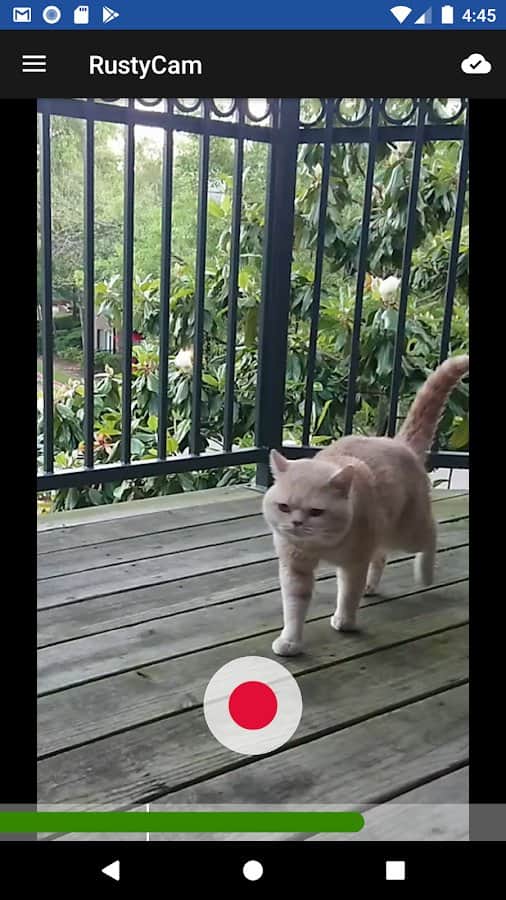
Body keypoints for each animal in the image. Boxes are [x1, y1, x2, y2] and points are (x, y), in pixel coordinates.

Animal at [262, 355, 469, 657]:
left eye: (316, 512)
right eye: (284, 507)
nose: (297, 523)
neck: (323, 545)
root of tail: (400, 443)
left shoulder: (353, 563)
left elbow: (349, 594)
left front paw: (345, 621)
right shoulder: (295, 568)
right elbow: (294, 606)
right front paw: (291, 641)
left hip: (407, 532)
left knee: (430, 534)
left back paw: (425, 574)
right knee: (381, 556)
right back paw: (372, 585)